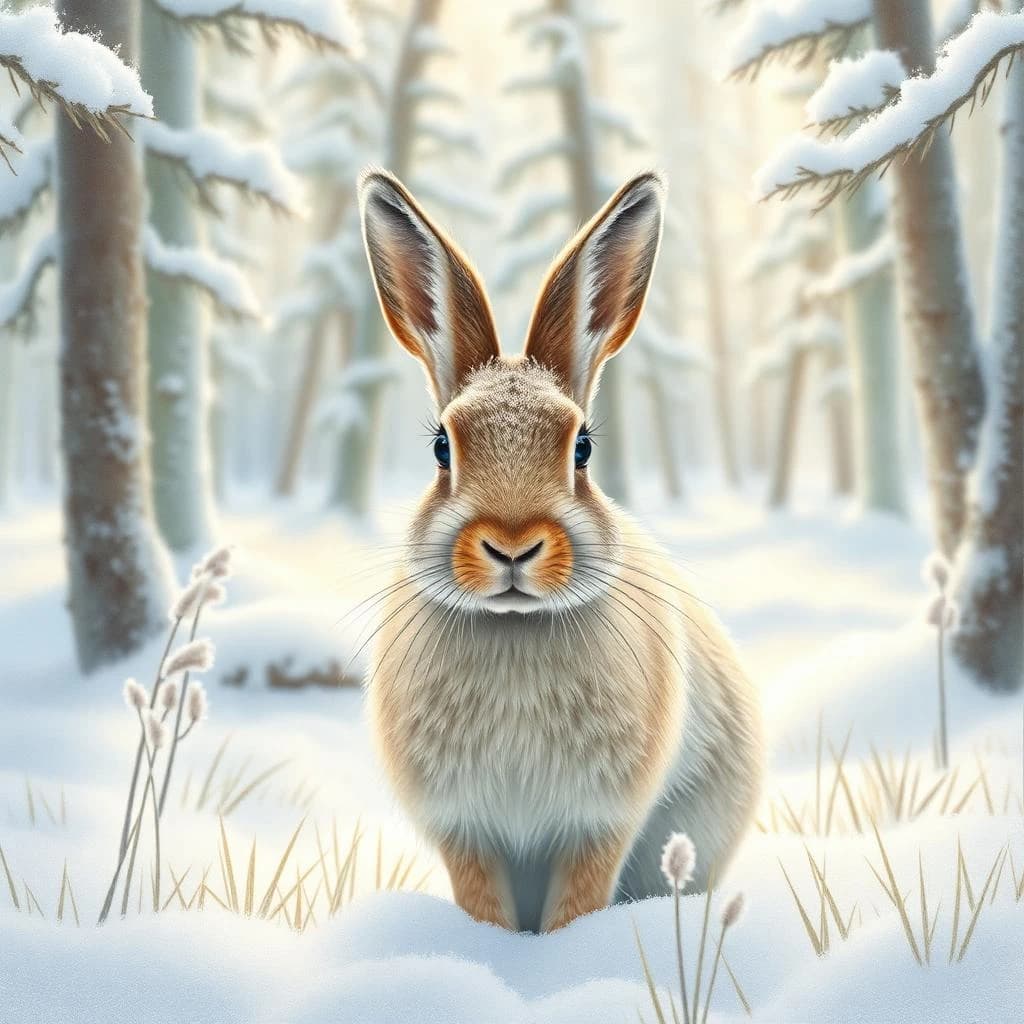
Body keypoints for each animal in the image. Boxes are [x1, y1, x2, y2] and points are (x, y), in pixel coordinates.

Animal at [360, 167, 763, 933]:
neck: (515, 629)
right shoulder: (466, 829)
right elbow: (482, 903)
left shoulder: (597, 824)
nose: (513, 545)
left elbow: (577, 902)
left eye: (582, 449)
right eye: (441, 447)